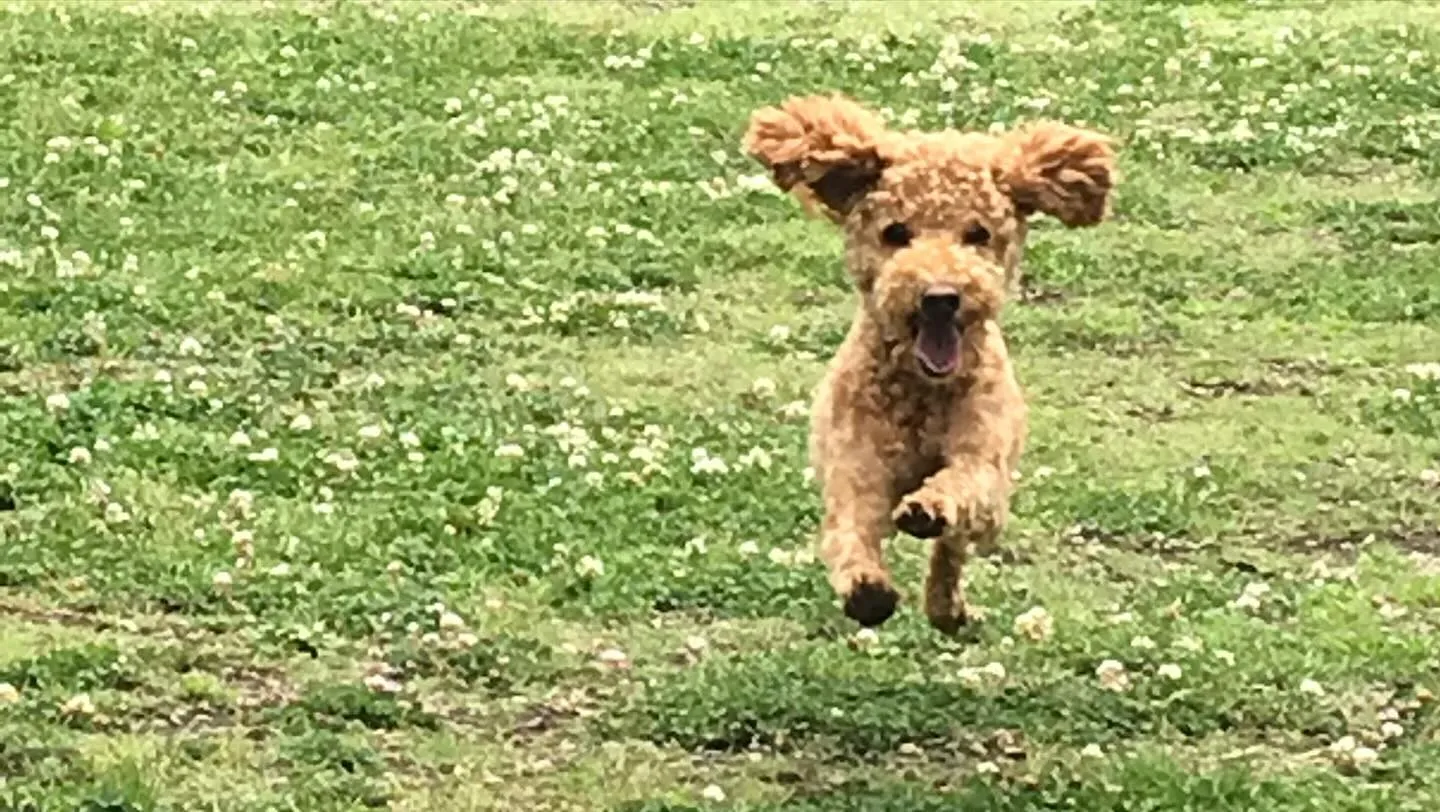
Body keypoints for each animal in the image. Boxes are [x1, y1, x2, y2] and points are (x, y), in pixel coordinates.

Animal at [743, 95, 1111, 633]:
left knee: (953, 549)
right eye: (895, 232)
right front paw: (867, 590)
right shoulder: (855, 468)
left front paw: (928, 507)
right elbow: (851, 529)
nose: (941, 297)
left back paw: (946, 605)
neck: (919, 391)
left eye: (978, 234)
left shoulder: (985, 463)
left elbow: (960, 487)